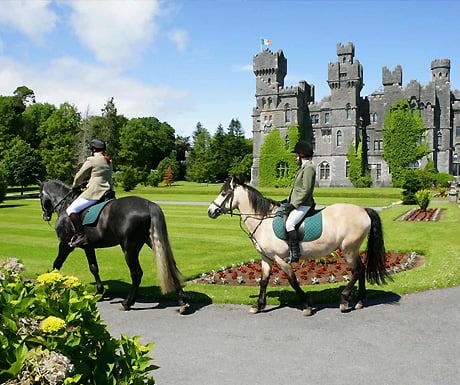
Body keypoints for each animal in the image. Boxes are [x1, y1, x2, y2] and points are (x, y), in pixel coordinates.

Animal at [39, 178, 187, 310]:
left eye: (40, 195)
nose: (45, 216)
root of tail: (148, 204)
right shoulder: (88, 247)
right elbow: (94, 267)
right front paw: (99, 291)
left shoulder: (65, 244)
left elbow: (57, 264)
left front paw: (51, 285)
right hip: (151, 241)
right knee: (170, 264)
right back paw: (181, 300)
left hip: (129, 248)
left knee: (136, 273)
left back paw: (127, 303)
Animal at [208, 177, 388, 316]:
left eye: (223, 193)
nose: (210, 211)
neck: (264, 220)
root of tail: (363, 210)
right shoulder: (266, 258)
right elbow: (264, 281)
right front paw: (258, 305)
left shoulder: (281, 259)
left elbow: (293, 281)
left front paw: (307, 305)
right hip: (353, 250)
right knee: (362, 269)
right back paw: (360, 301)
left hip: (348, 250)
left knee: (357, 270)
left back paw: (344, 301)